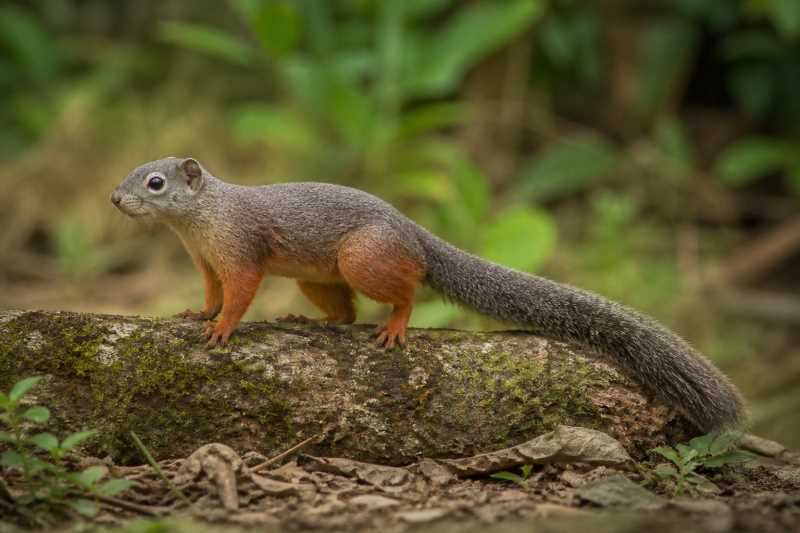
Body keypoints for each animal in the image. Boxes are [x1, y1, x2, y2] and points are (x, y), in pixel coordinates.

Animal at [111, 156, 746, 432]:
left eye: (156, 182)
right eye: (133, 172)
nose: (115, 199)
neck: (199, 224)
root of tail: (414, 232)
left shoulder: (240, 252)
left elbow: (241, 295)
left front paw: (221, 330)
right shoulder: (206, 262)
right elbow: (213, 292)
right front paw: (197, 312)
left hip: (360, 259)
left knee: (407, 289)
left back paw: (395, 327)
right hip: (319, 276)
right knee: (345, 312)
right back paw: (315, 323)